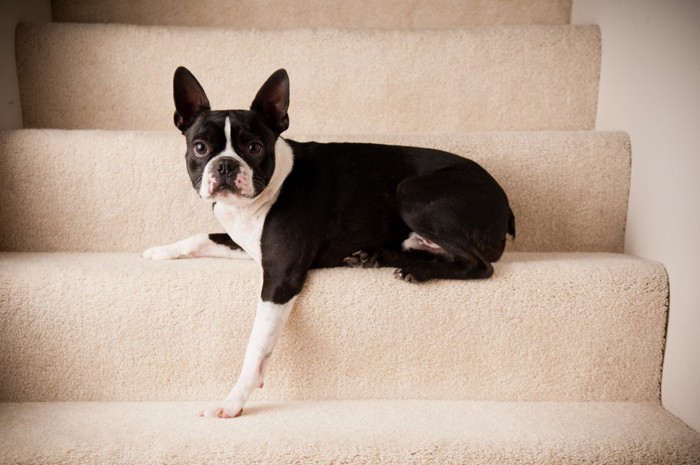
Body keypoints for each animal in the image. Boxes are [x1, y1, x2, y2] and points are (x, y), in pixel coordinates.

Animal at [142, 67, 516, 418]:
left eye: (254, 148)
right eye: (200, 148)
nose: (224, 165)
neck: (258, 198)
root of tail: (505, 203)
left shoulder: (281, 277)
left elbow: (256, 345)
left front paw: (233, 401)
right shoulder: (247, 246)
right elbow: (201, 237)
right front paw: (160, 250)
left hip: (411, 193)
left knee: (478, 265)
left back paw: (415, 269)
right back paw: (375, 257)